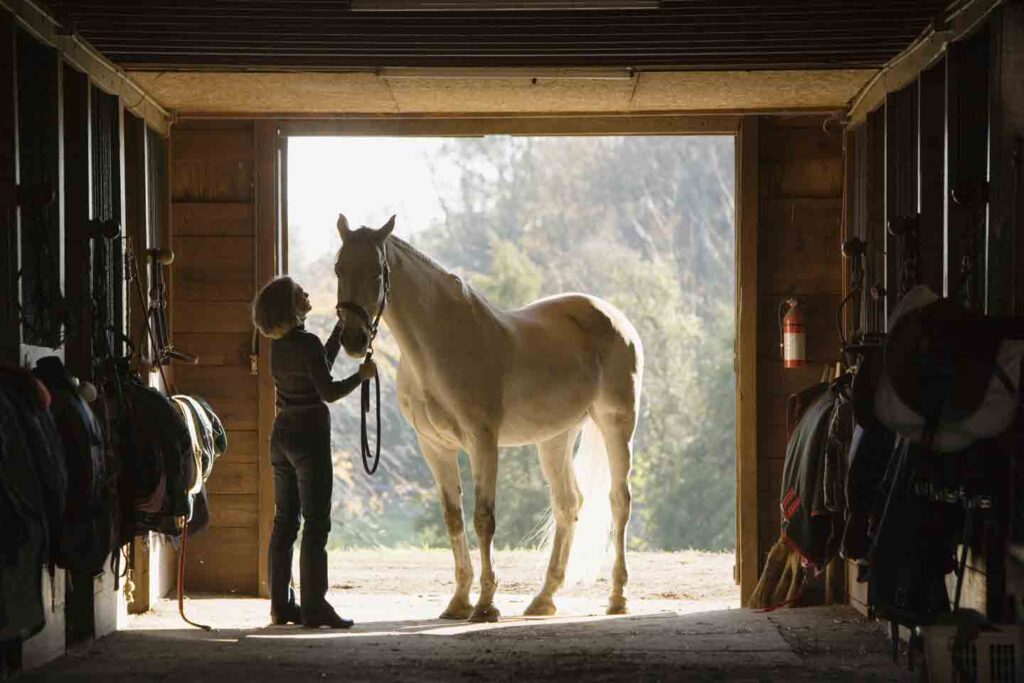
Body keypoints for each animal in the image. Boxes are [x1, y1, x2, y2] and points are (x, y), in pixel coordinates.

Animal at [333, 213, 644, 622]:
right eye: (339, 268)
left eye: (375, 273)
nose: (353, 340)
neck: (439, 345)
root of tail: (616, 318)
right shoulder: (435, 447)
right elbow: (453, 517)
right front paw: (458, 602)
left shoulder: (483, 442)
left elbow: (484, 518)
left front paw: (485, 605)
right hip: (555, 437)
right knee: (568, 504)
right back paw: (544, 598)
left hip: (616, 423)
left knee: (619, 501)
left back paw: (618, 597)